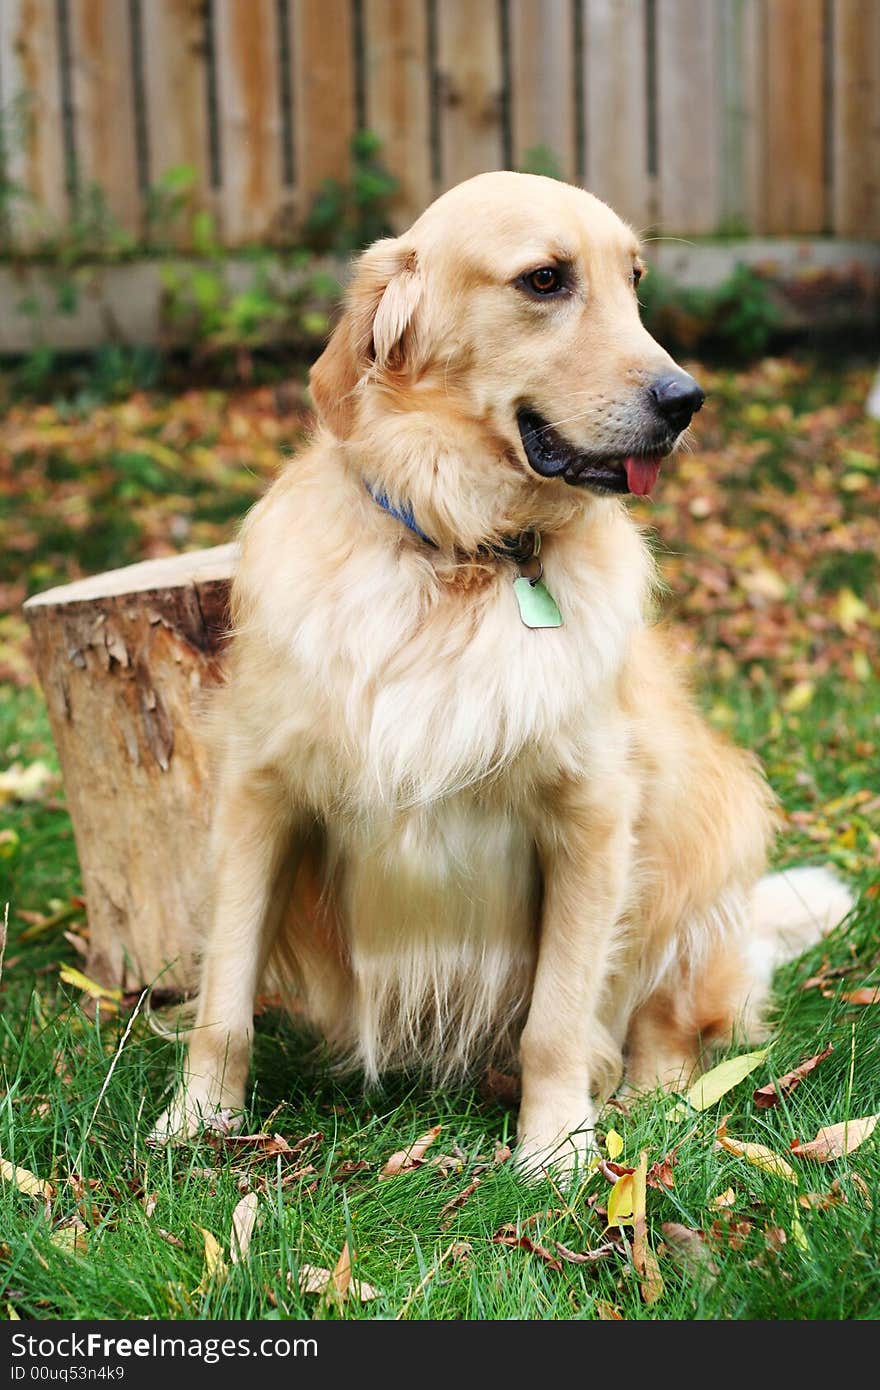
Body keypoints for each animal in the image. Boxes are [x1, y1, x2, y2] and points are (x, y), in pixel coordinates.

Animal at [152, 170, 850, 1173]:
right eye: (545, 279)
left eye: (634, 279)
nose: (687, 399)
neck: (464, 556)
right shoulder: (261, 794)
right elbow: (225, 997)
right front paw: (196, 1122)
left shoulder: (592, 816)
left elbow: (558, 1020)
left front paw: (556, 1149)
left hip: (707, 834)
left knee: (672, 1023)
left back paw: (649, 1102)